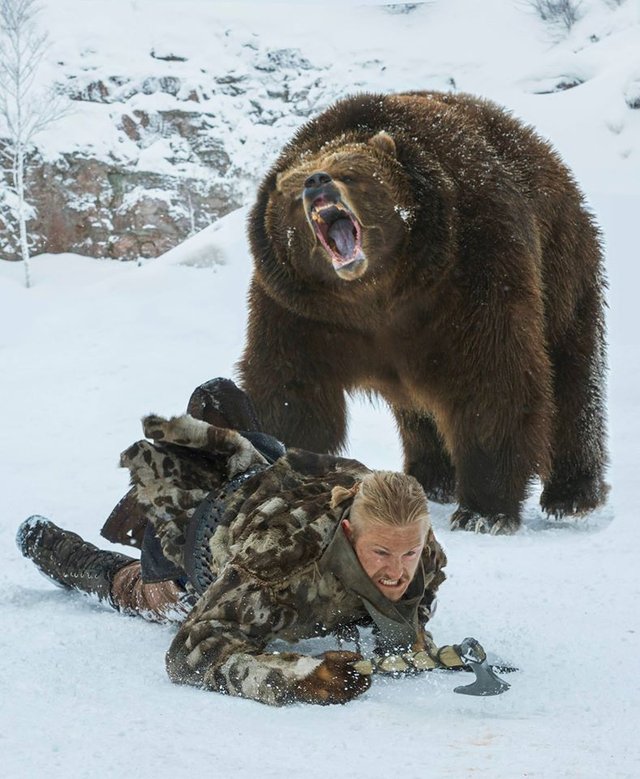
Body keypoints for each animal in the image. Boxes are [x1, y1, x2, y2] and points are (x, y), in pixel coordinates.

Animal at [238, 90, 608, 532]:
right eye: (294, 193)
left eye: (348, 171)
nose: (316, 181)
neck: (376, 292)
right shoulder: (300, 312)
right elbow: (291, 390)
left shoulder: (473, 267)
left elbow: (492, 378)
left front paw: (483, 511)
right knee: (419, 410)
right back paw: (431, 478)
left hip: (562, 267)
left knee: (572, 380)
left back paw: (572, 494)